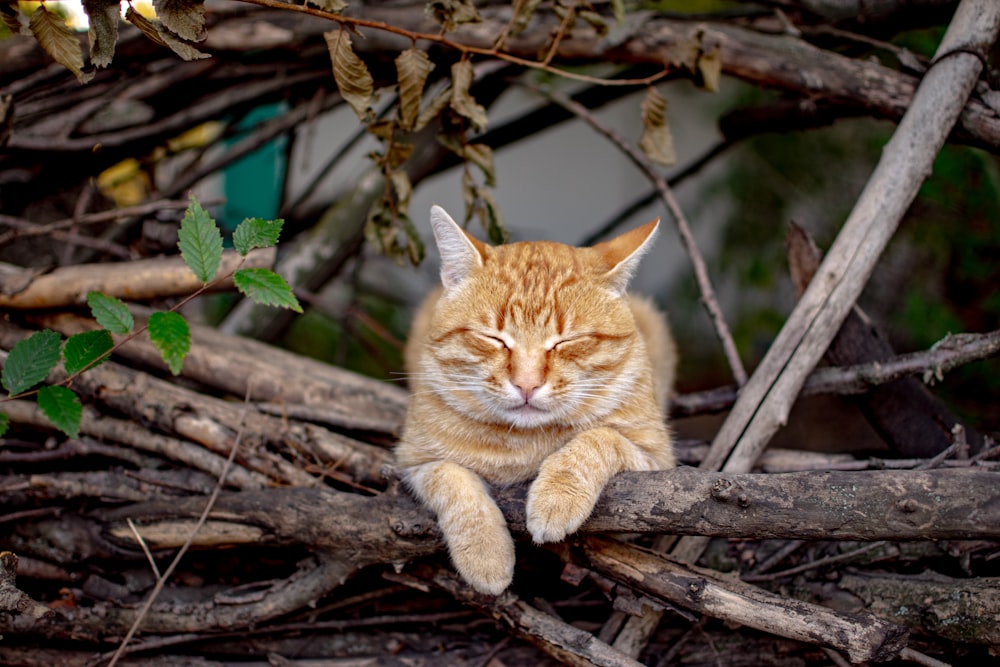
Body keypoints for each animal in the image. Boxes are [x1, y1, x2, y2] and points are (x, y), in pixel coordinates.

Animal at [394, 205, 676, 596]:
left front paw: (556, 497)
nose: (526, 384)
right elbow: (452, 480)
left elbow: (600, 439)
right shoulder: (413, 462)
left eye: (567, 342)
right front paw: (485, 554)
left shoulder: (656, 473)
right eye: (494, 339)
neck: (522, 443)